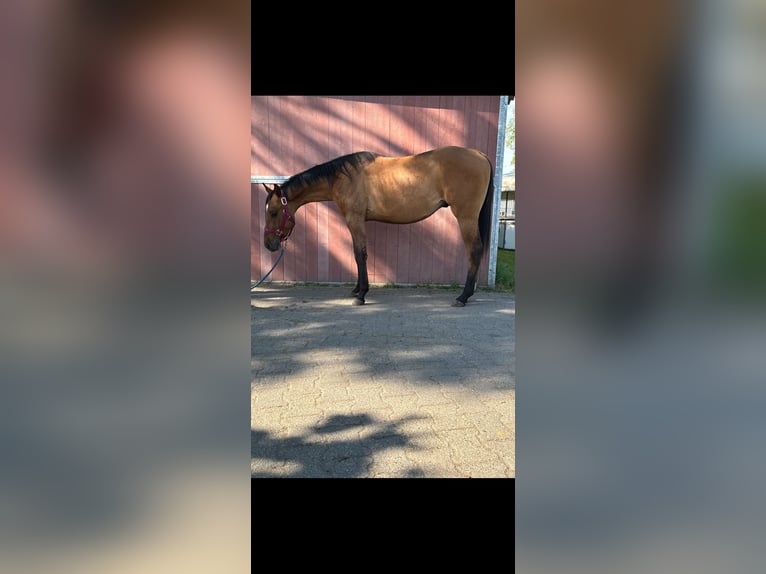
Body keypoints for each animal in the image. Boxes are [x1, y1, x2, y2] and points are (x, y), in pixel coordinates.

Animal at [262, 146, 494, 307]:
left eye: (273, 212)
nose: (268, 244)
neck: (344, 177)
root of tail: (480, 155)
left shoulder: (355, 219)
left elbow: (360, 254)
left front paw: (361, 295)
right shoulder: (355, 221)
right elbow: (357, 253)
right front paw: (356, 290)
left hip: (466, 217)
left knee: (474, 251)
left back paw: (463, 297)